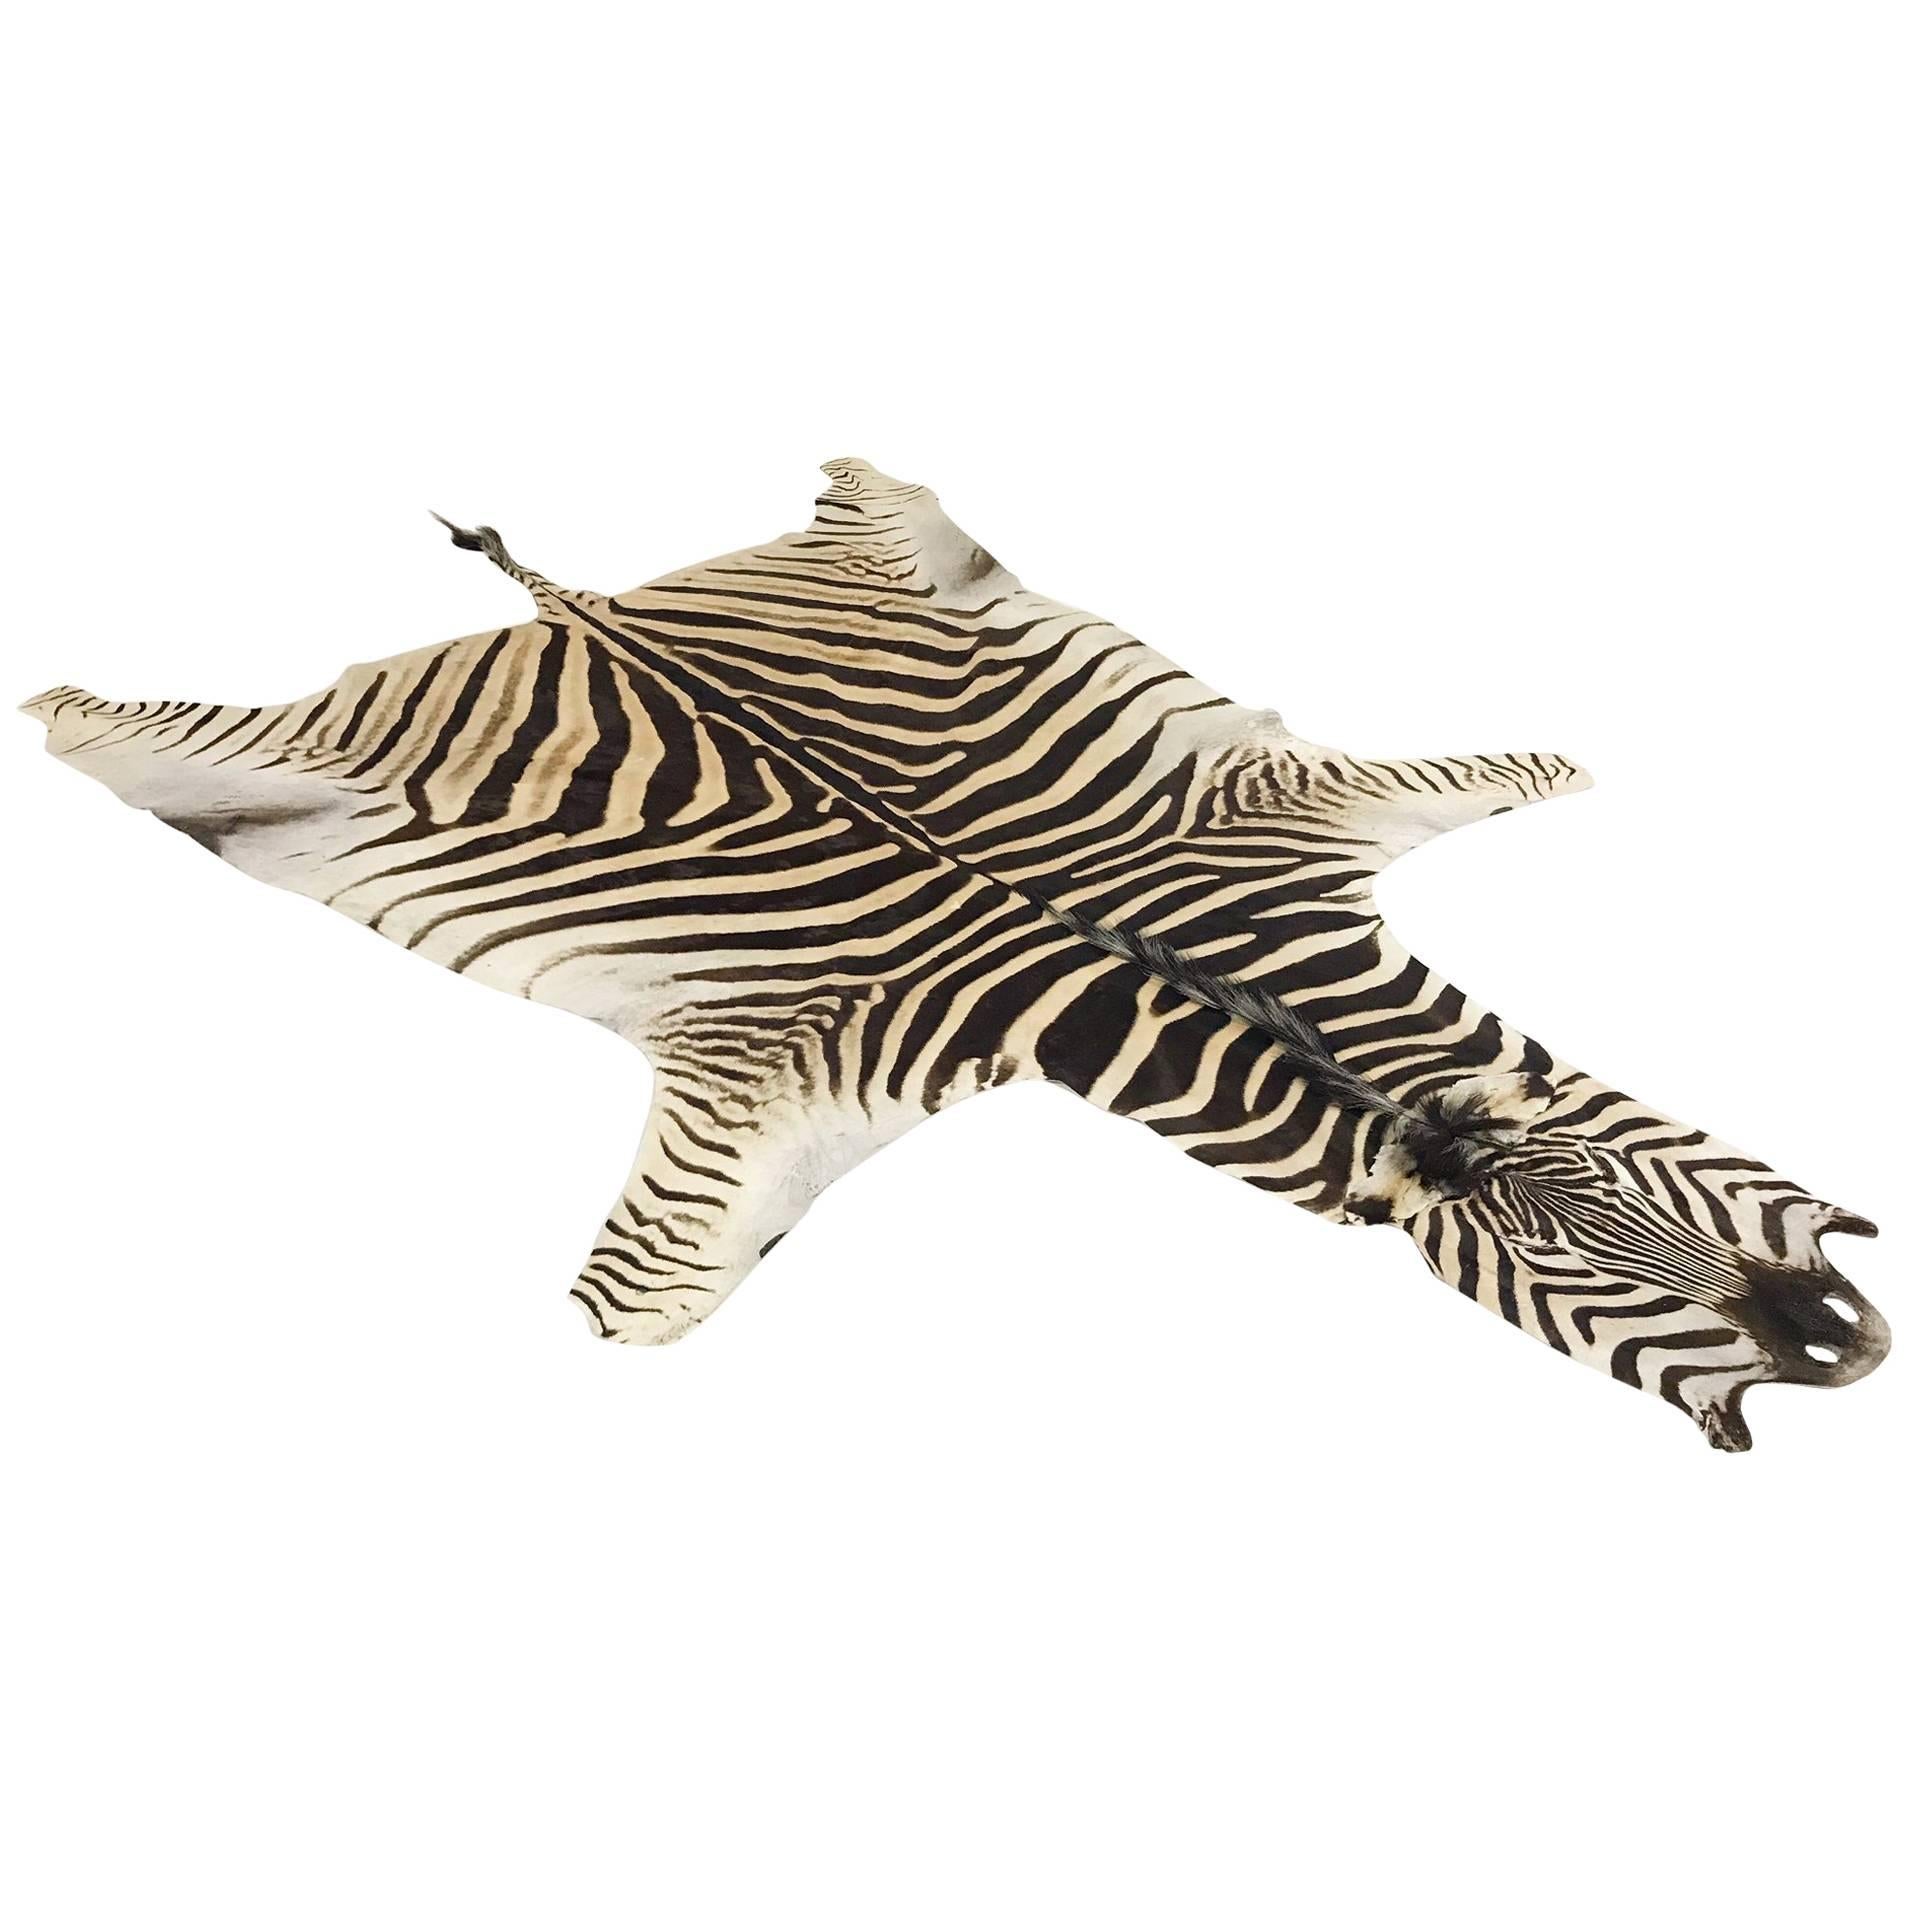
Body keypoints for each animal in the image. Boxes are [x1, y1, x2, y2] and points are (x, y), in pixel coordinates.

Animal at [23, 459, 1887, 1450]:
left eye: (1594, 1127)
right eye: (1475, 1251)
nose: (1842, 1348)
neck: (1153, 957)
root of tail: (583, 610)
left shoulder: (1286, 808)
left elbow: (1501, 772)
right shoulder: (788, 1076)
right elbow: (648, 1290)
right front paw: (615, 1324)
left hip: (903, 550)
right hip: (252, 763)